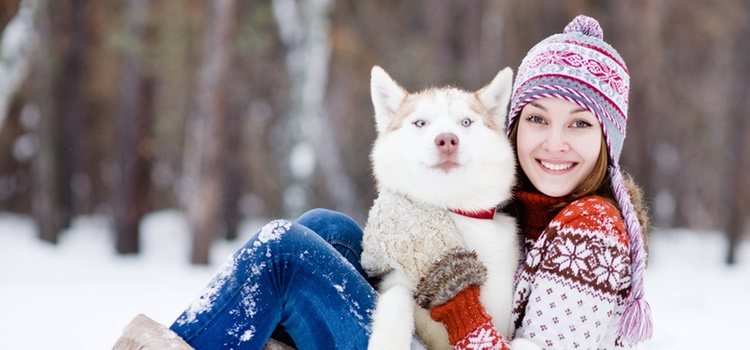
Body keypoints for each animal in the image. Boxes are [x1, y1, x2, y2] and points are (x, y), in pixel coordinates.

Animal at [364, 66, 524, 350]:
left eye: (466, 122)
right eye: (420, 123)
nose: (447, 140)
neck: (451, 211)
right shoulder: (394, 280)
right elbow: (397, 295)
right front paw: (387, 341)